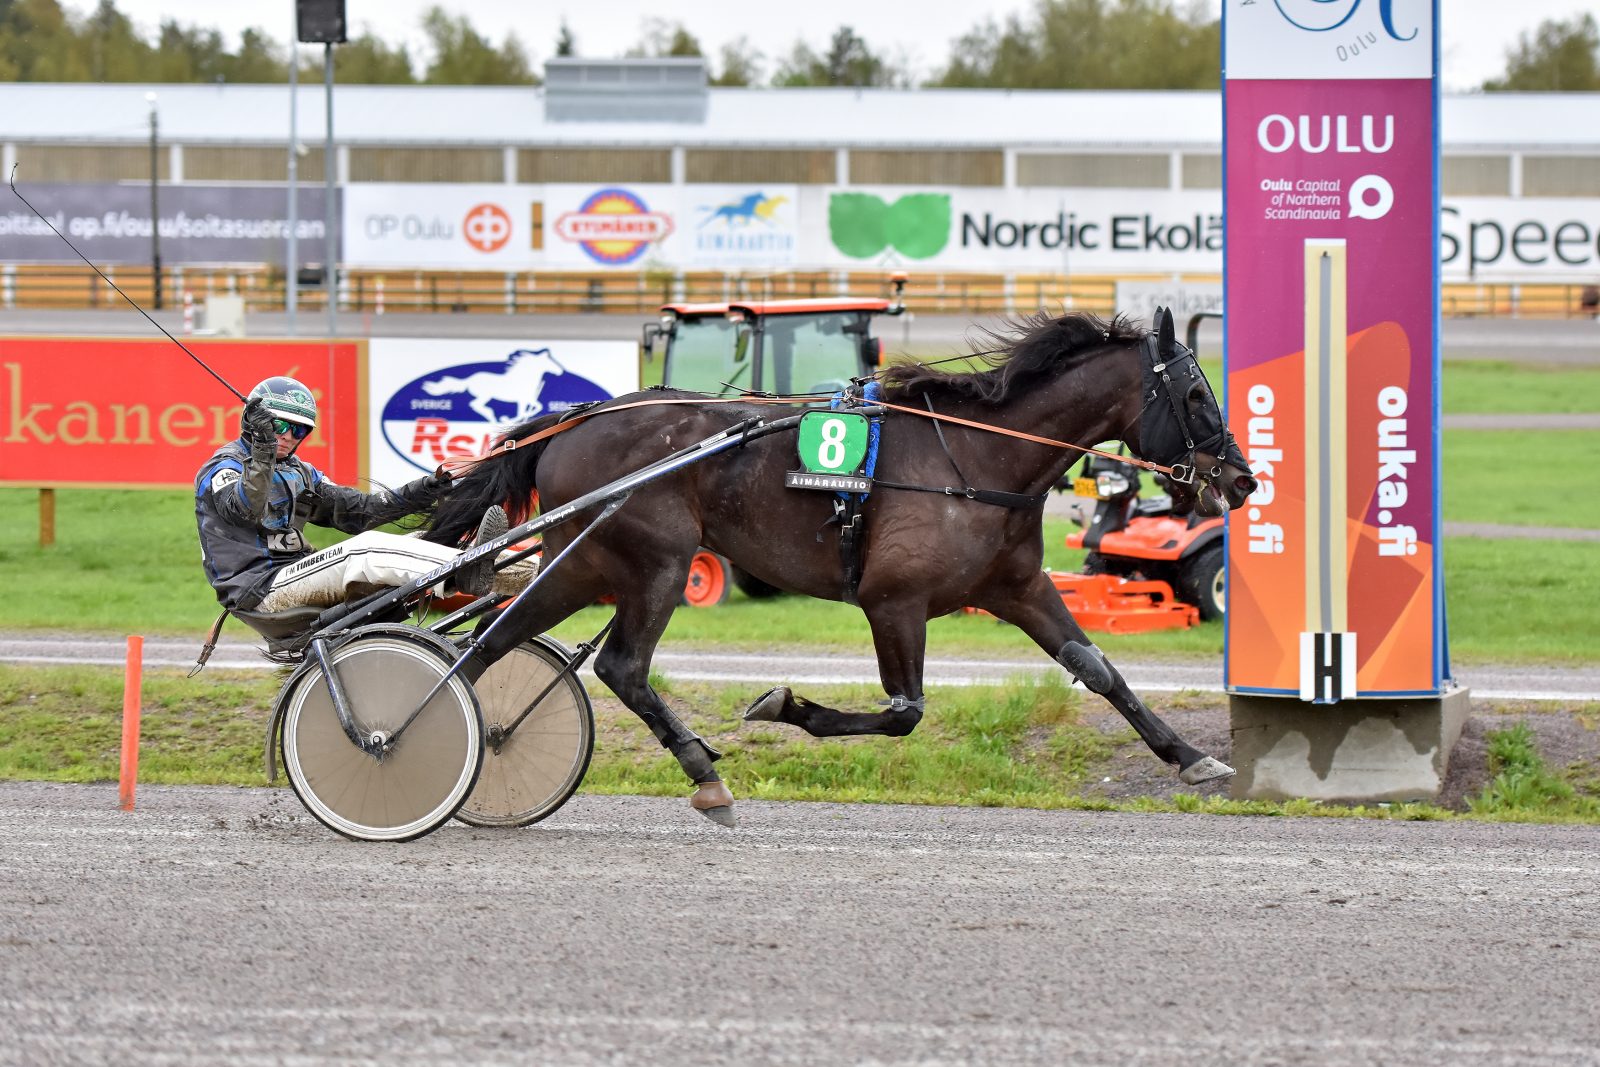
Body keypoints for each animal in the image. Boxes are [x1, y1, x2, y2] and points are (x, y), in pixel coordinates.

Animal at [432, 308, 1254, 825]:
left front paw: (1191, 758)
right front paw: (784, 706)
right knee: (621, 666)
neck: (980, 456)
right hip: (654, 560)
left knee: (490, 643)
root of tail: (575, 420)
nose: (1243, 480)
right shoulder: (895, 600)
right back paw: (704, 774)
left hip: (587, 563)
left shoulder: (1017, 586)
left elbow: (1099, 668)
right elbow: (904, 710)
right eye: (1195, 393)